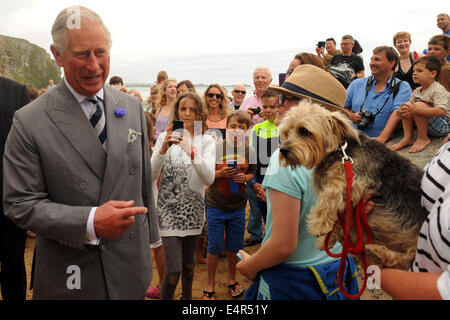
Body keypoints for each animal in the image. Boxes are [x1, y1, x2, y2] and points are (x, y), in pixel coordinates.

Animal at [278, 101, 428, 268]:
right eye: (285, 133)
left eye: (304, 131)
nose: (283, 150)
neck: (340, 150)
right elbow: (338, 213)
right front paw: (328, 238)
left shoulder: (354, 179)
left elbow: (330, 195)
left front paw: (319, 224)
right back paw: (376, 251)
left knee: (408, 258)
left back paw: (379, 252)